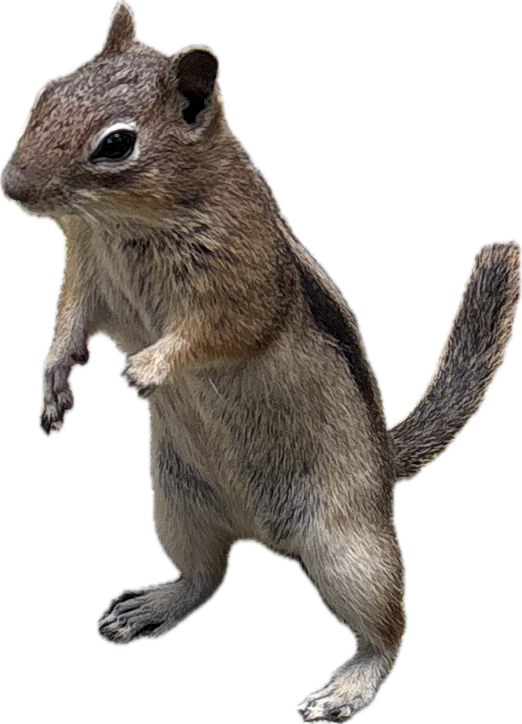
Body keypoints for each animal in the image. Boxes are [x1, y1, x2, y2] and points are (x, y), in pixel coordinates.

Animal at [2, 1, 520, 721]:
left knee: (389, 627)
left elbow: (215, 333)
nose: (13, 186)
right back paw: (154, 605)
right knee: (205, 577)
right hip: (175, 502)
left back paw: (349, 685)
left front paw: (148, 368)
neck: (124, 224)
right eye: (47, 94)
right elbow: (70, 319)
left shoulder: (239, 282)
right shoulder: (86, 265)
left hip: (347, 545)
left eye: (116, 145)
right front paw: (53, 382)